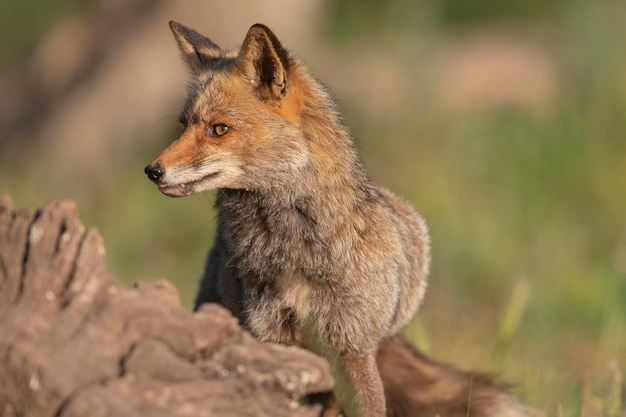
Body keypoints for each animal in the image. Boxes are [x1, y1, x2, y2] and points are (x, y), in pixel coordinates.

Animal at [144, 21, 524, 416]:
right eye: (183, 125)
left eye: (219, 129)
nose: (152, 171)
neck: (294, 252)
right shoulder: (272, 334)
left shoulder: (352, 346)